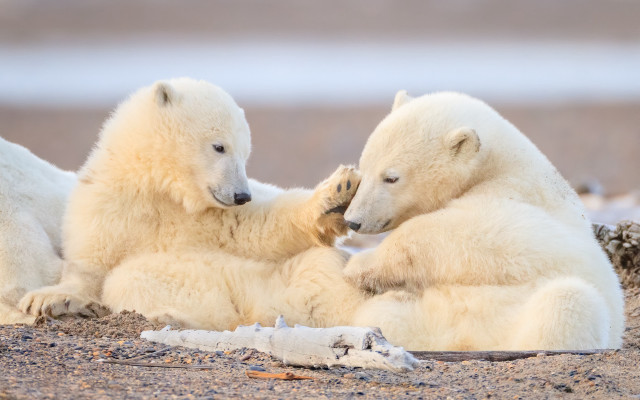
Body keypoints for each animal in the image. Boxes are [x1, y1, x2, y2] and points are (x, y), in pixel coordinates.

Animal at [18, 78, 365, 330]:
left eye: (246, 153)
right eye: (219, 146)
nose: (242, 195)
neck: (163, 192)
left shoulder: (209, 219)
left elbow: (258, 230)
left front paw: (338, 194)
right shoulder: (110, 206)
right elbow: (91, 266)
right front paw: (45, 300)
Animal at [344, 91, 624, 350]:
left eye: (391, 178)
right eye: (363, 169)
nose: (352, 221)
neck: (499, 168)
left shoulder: (523, 204)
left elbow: (474, 230)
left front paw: (358, 265)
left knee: (569, 301)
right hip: (429, 316)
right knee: (387, 314)